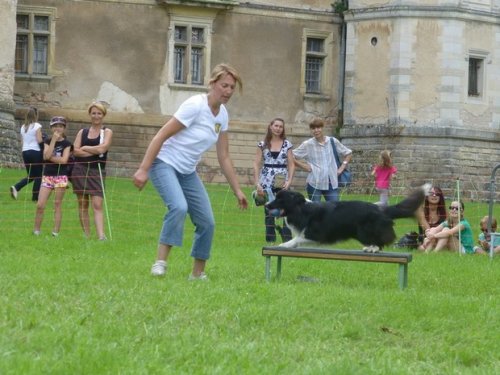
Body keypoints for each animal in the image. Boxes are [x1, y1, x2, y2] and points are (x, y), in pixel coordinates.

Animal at [264, 185, 432, 253]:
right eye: (276, 197)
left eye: (280, 199)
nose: (266, 205)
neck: (301, 209)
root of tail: (381, 209)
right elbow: (297, 239)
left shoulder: (315, 233)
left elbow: (297, 238)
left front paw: (284, 244)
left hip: (364, 230)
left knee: (381, 241)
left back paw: (372, 248)